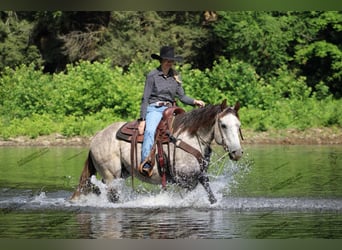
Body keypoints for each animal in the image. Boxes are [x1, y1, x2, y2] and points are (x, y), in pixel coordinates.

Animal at [71, 99, 243, 203]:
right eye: (223, 125)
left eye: (238, 125)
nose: (237, 152)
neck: (190, 138)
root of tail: (97, 137)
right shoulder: (185, 177)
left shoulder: (194, 178)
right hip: (111, 175)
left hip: (121, 173)